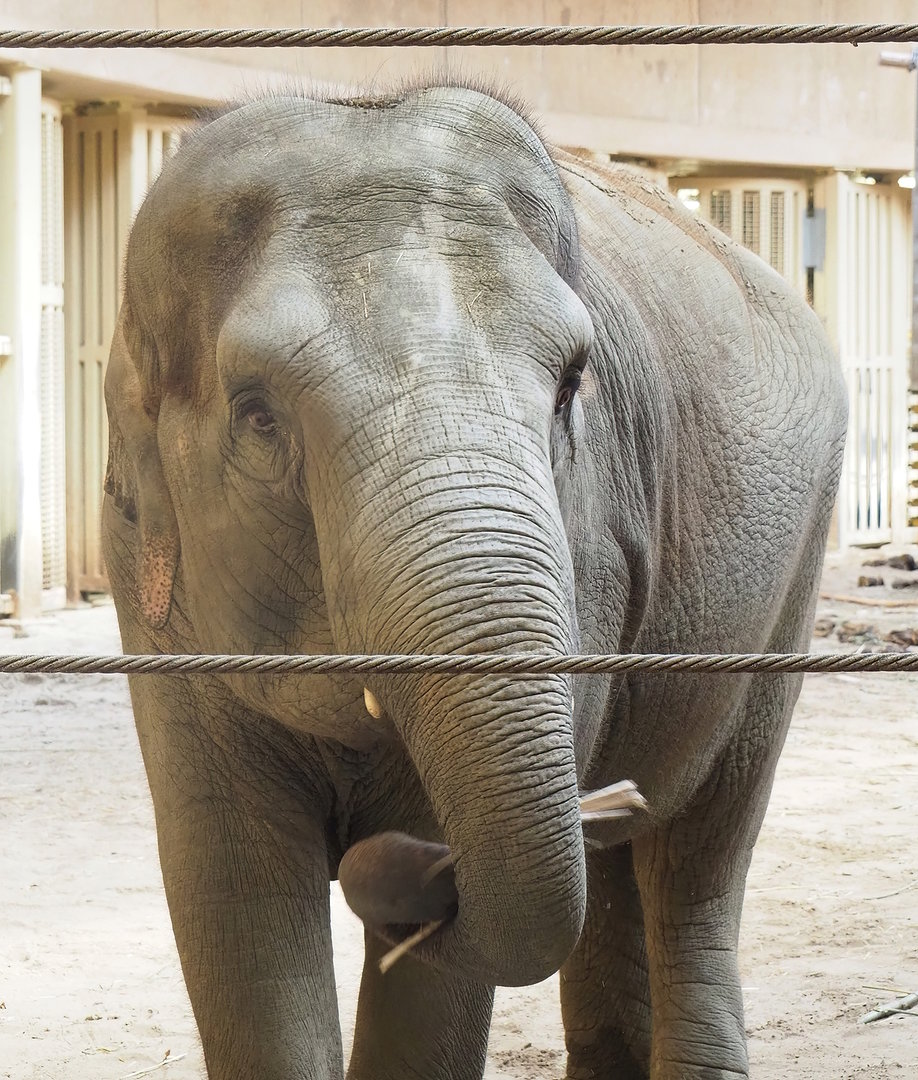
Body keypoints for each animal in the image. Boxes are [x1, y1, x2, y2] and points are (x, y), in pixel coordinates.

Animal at [101, 83, 847, 1080]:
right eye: (258, 416)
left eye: (571, 386)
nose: (387, 865)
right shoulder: (155, 601)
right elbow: (234, 891)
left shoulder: (589, 551)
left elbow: (433, 986)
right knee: (616, 857)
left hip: (790, 577)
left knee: (700, 847)